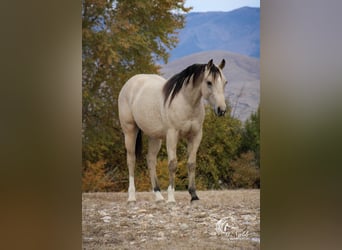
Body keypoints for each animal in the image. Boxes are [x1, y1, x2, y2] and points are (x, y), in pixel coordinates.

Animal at [117, 59, 227, 203]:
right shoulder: (172, 135)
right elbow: (172, 164)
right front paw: (171, 197)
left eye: (225, 82)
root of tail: (130, 83)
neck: (186, 102)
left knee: (151, 160)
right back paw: (131, 197)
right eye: (209, 82)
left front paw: (194, 195)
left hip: (154, 136)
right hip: (130, 131)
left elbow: (191, 163)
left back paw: (158, 195)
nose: (222, 110)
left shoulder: (196, 136)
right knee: (131, 160)